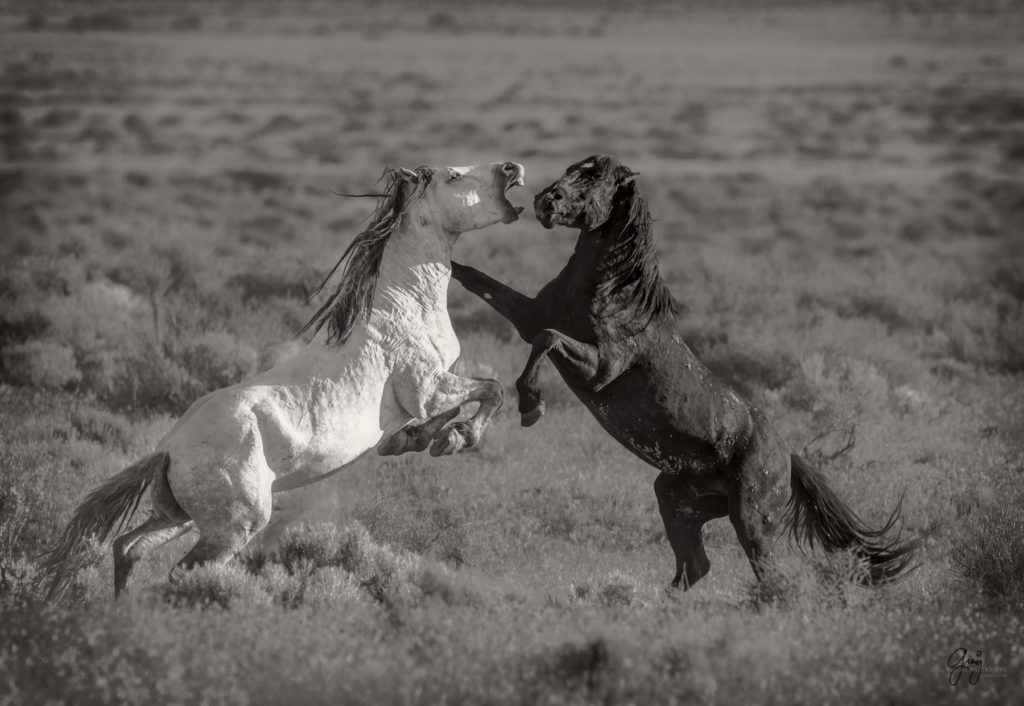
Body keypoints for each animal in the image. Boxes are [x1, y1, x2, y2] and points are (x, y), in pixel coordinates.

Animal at [37, 162, 528, 598]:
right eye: (454, 175)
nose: (512, 168)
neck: (403, 304)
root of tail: (168, 449)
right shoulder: (428, 384)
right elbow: (491, 390)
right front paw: (456, 439)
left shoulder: (427, 391)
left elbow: (452, 408)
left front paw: (415, 440)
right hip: (234, 527)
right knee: (182, 570)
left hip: (178, 517)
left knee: (128, 548)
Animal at [452, 155, 917, 590]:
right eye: (572, 169)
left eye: (598, 179)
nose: (546, 200)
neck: (610, 292)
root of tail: (787, 457)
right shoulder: (529, 318)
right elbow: (478, 282)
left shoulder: (600, 368)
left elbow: (548, 340)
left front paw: (531, 405)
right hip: (677, 502)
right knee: (695, 566)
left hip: (753, 523)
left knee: (768, 577)